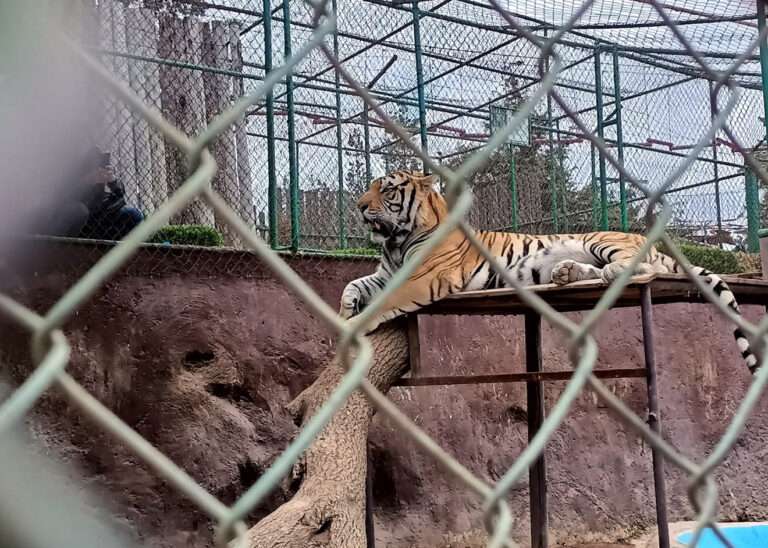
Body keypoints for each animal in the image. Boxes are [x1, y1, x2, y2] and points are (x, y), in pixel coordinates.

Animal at [340, 169, 760, 374]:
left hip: (605, 242)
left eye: (387, 190)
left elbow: (385, 302)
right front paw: (345, 312)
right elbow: (352, 284)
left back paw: (605, 273)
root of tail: (652, 241)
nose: (358, 206)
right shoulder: (387, 272)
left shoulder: (421, 278)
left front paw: (353, 325)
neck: (397, 240)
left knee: (635, 266)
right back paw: (565, 274)